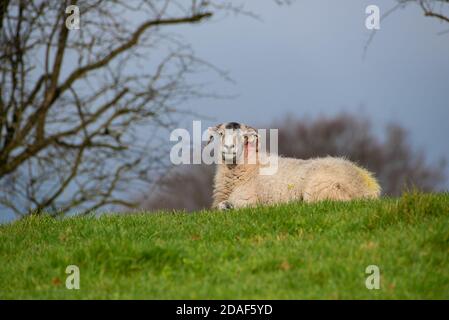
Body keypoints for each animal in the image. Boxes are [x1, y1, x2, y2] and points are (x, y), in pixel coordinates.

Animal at [206, 122, 378, 210]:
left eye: (244, 137)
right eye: (221, 134)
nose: (229, 148)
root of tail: (366, 187)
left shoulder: (246, 200)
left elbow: (224, 206)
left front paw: (228, 206)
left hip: (319, 190)